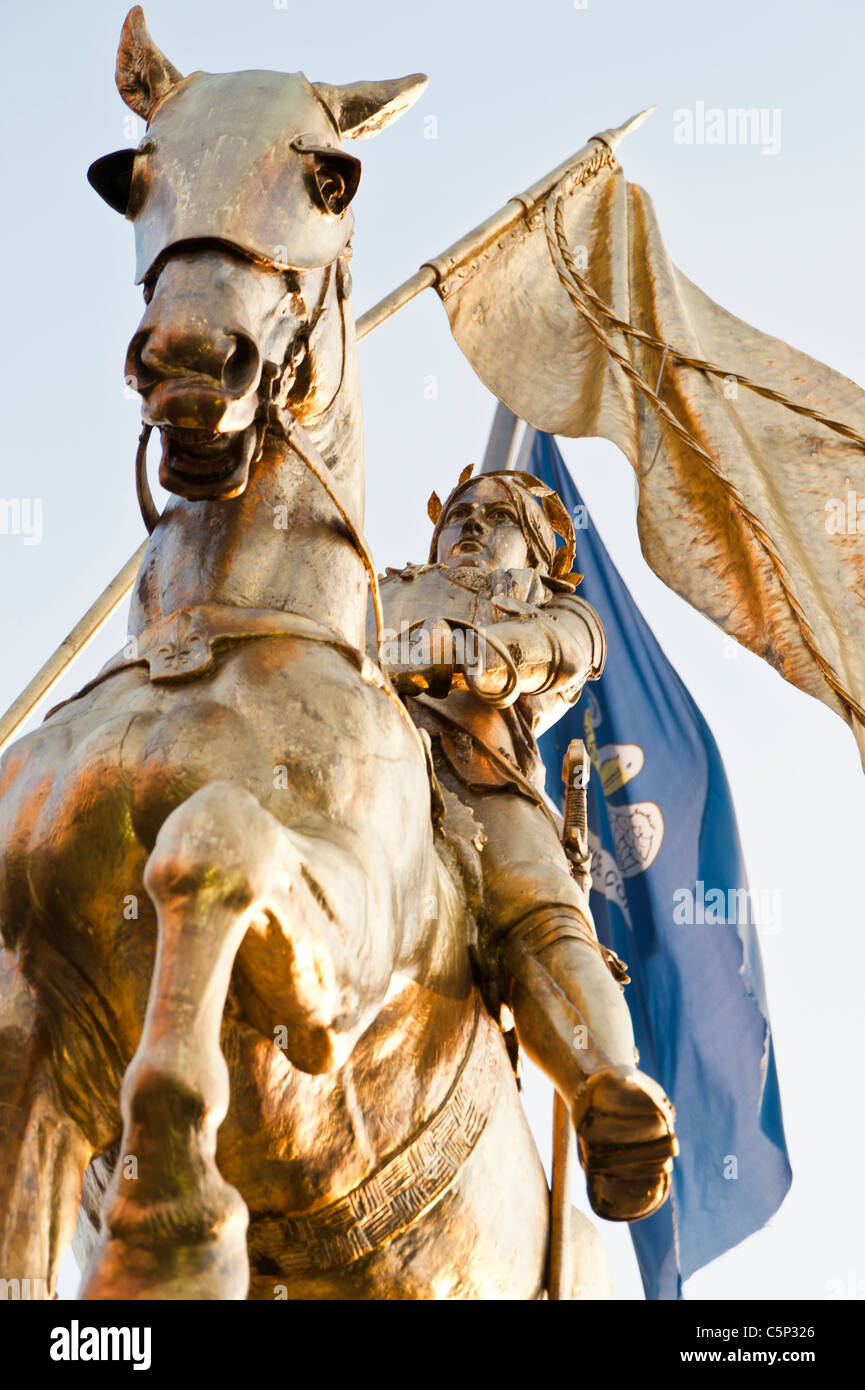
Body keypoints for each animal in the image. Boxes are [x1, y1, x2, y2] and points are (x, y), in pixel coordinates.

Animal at [0, 5, 592, 1295]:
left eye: (329, 177)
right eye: (129, 176)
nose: (191, 359)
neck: (207, 638)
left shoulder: (341, 955)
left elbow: (209, 842)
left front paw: (170, 1216)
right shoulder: (26, 991)